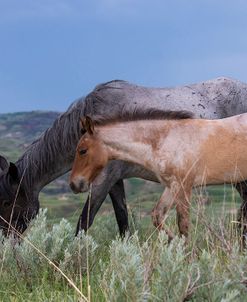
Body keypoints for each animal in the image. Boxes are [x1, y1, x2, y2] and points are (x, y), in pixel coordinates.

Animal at [69, 109, 247, 241]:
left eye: (82, 150)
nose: (74, 184)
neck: (166, 140)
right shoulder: (171, 186)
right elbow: (157, 216)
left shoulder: (184, 186)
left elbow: (183, 224)